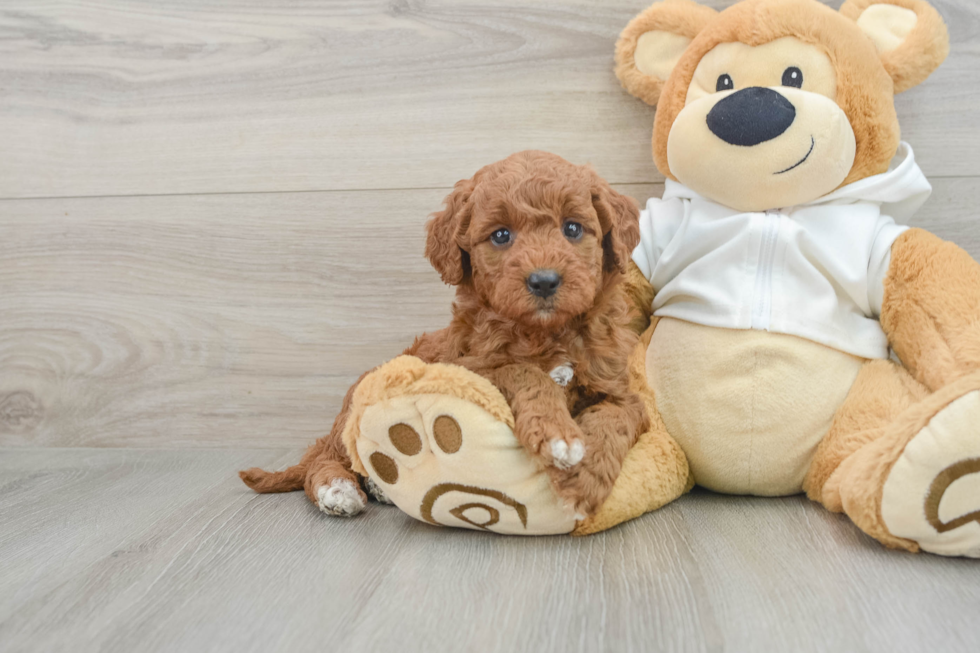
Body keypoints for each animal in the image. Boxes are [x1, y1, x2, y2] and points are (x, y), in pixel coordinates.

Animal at [241, 152, 648, 520]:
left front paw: (583, 478)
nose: (544, 280)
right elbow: (524, 371)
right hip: (353, 416)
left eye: (573, 228)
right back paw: (337, 489)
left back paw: (379, 486)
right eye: (501, 235)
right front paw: (558, 435)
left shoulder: (620, 391)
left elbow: (615, 419)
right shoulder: (470, 369)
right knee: (321, 457)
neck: (546, 332)